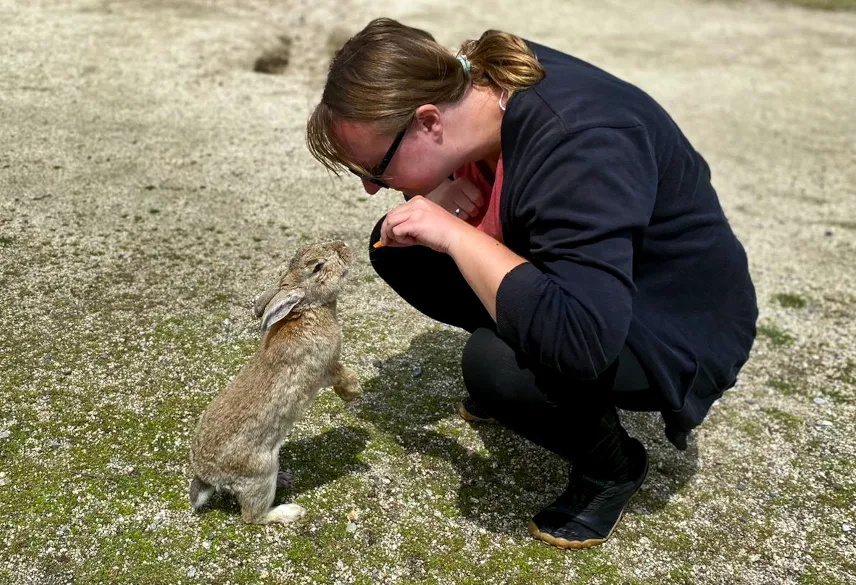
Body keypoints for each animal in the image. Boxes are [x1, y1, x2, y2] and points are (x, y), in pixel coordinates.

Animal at [187, 240, 362, 524]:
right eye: (318, 266)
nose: (344, 246)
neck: (308, 310)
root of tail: (208, 476)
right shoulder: (325, 367)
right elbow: (345, 376)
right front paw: (355, 393)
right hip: (260, 472)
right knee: (252, 516)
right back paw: (290, 511)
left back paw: (285, 479)